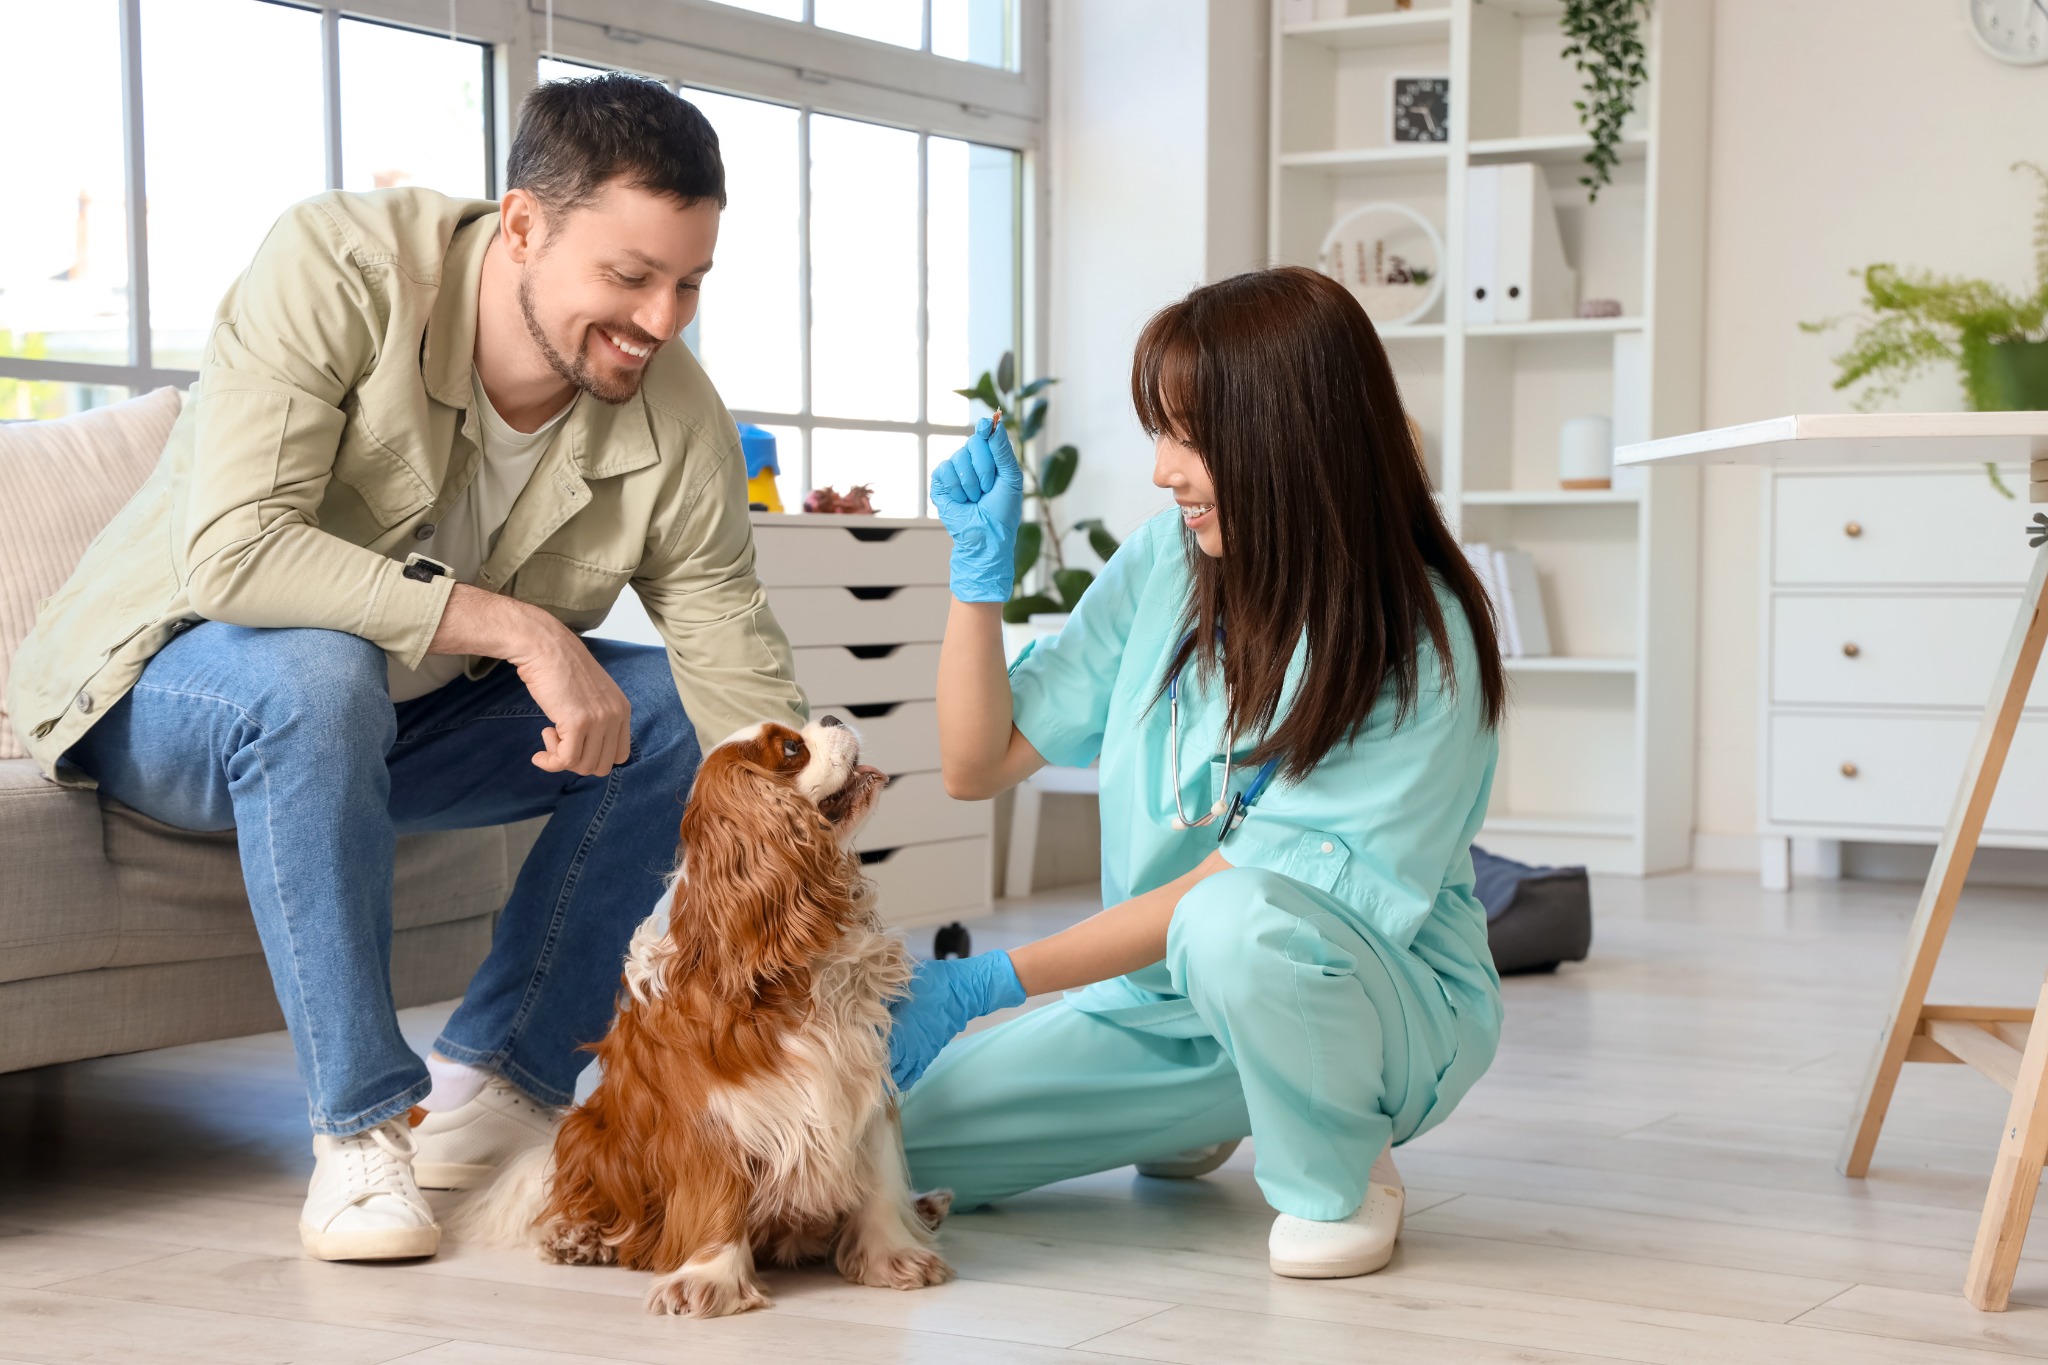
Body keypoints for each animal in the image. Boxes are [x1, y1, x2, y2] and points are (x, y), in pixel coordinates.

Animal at [456, 720, 950, 1317]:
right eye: (791, 748)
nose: (832, 721)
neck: (791, 964)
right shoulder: (712, 1110)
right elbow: (717, 1192)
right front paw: (707, 1279)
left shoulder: (864, 1079)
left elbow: (880, 1177)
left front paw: (894, 1254)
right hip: (587, 1133)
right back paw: (576, 1237)